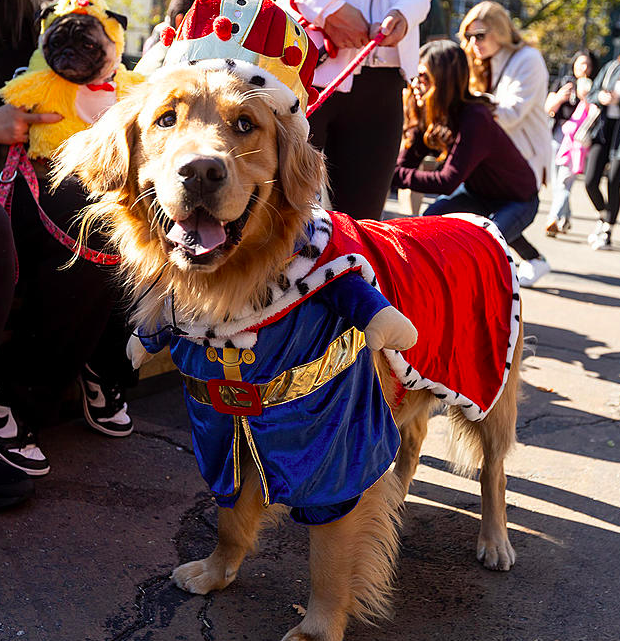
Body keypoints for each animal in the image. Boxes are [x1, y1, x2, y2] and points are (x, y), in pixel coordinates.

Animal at [54, 63, 524, 640]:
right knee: (411, 442)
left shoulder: (335, 441)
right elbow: (231, 515)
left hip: (490, 392)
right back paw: (399, 492)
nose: (201, 172)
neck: (238, 295)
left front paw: (318, 628)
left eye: (245, 124)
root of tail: (475, 220)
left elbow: (331, 552)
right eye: (166, 119)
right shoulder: (222, 423)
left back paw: (495, 541)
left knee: (494, 471)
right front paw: (217, 571)